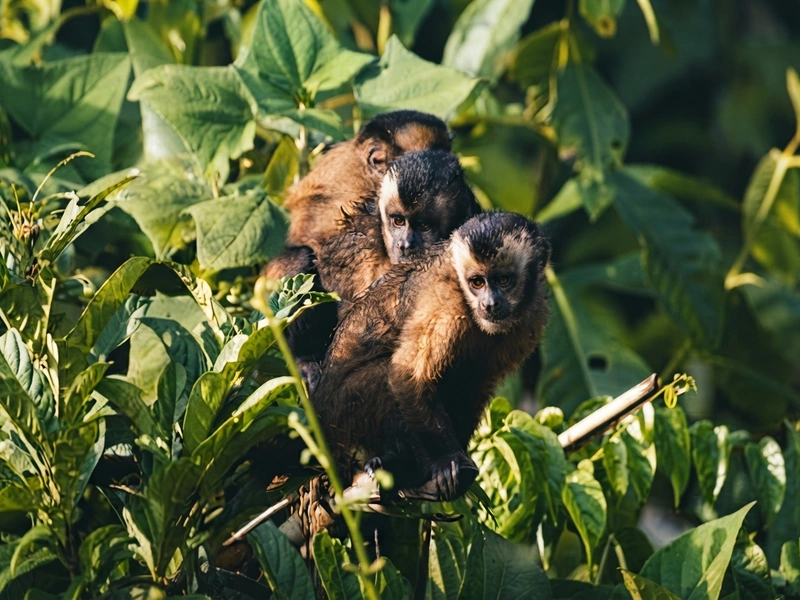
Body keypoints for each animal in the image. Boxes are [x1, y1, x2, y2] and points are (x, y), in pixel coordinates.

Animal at [309, 211, 551, 502]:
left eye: (503, 280)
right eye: (477, 282)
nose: (490, 304)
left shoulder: (532, 318)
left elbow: (475, 385)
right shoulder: (444, 299)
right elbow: (408, 376)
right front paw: (448, 462)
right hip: (339, 419)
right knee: (383, 374)